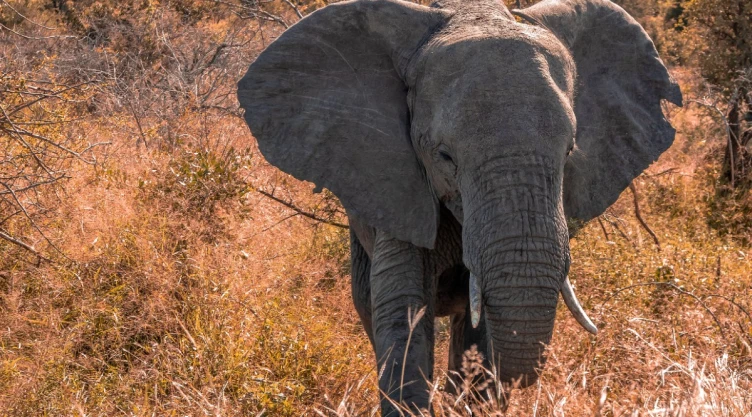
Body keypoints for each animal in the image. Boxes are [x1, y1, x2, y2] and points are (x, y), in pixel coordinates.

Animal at [237, 0, 682, 414]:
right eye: (444, 156)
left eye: (570, 150)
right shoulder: (398, 182)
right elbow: (403, 307)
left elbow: (479, 326)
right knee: (367, 300)